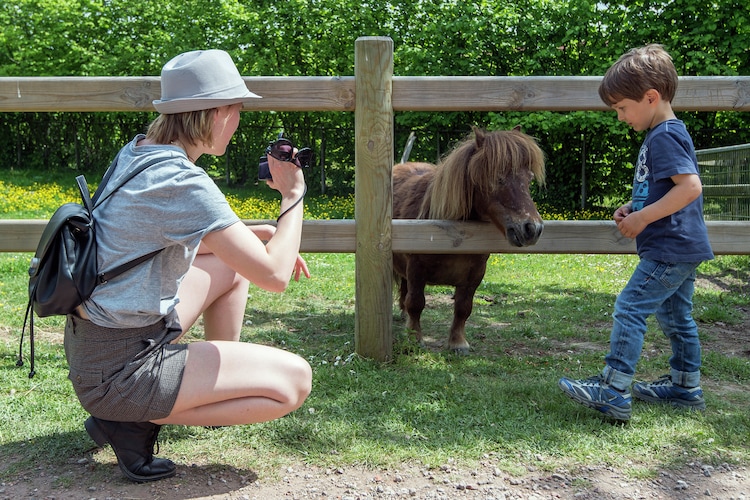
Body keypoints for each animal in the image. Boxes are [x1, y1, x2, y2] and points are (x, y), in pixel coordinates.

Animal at [394, 127, 548, 354]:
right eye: (497, 178)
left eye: (528, 179)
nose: (532, 229)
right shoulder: (416, 269)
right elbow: (416, 303)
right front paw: (415, 339)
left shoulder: (475, 274)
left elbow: (463, 308)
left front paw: (458, 342)